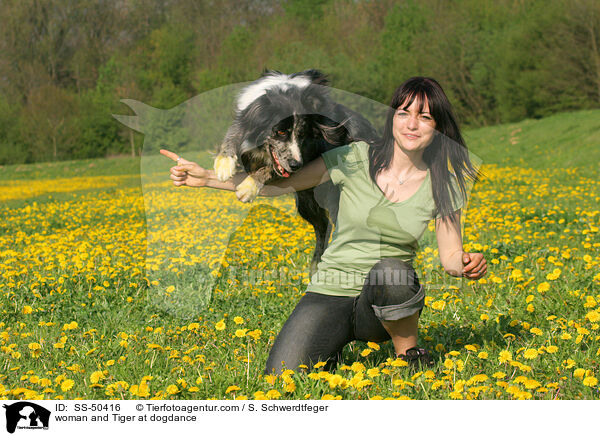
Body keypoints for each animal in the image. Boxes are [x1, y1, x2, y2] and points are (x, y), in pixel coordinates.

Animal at [213, 69, 378, 272]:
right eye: (281, 132)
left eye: (302, 135)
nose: (295, 165)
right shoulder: (247, 116)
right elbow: (235, 131)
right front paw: (224, 162)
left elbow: (270, 170)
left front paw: (248, 188)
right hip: (306, 202)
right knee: (323, 226)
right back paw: (316, 263)